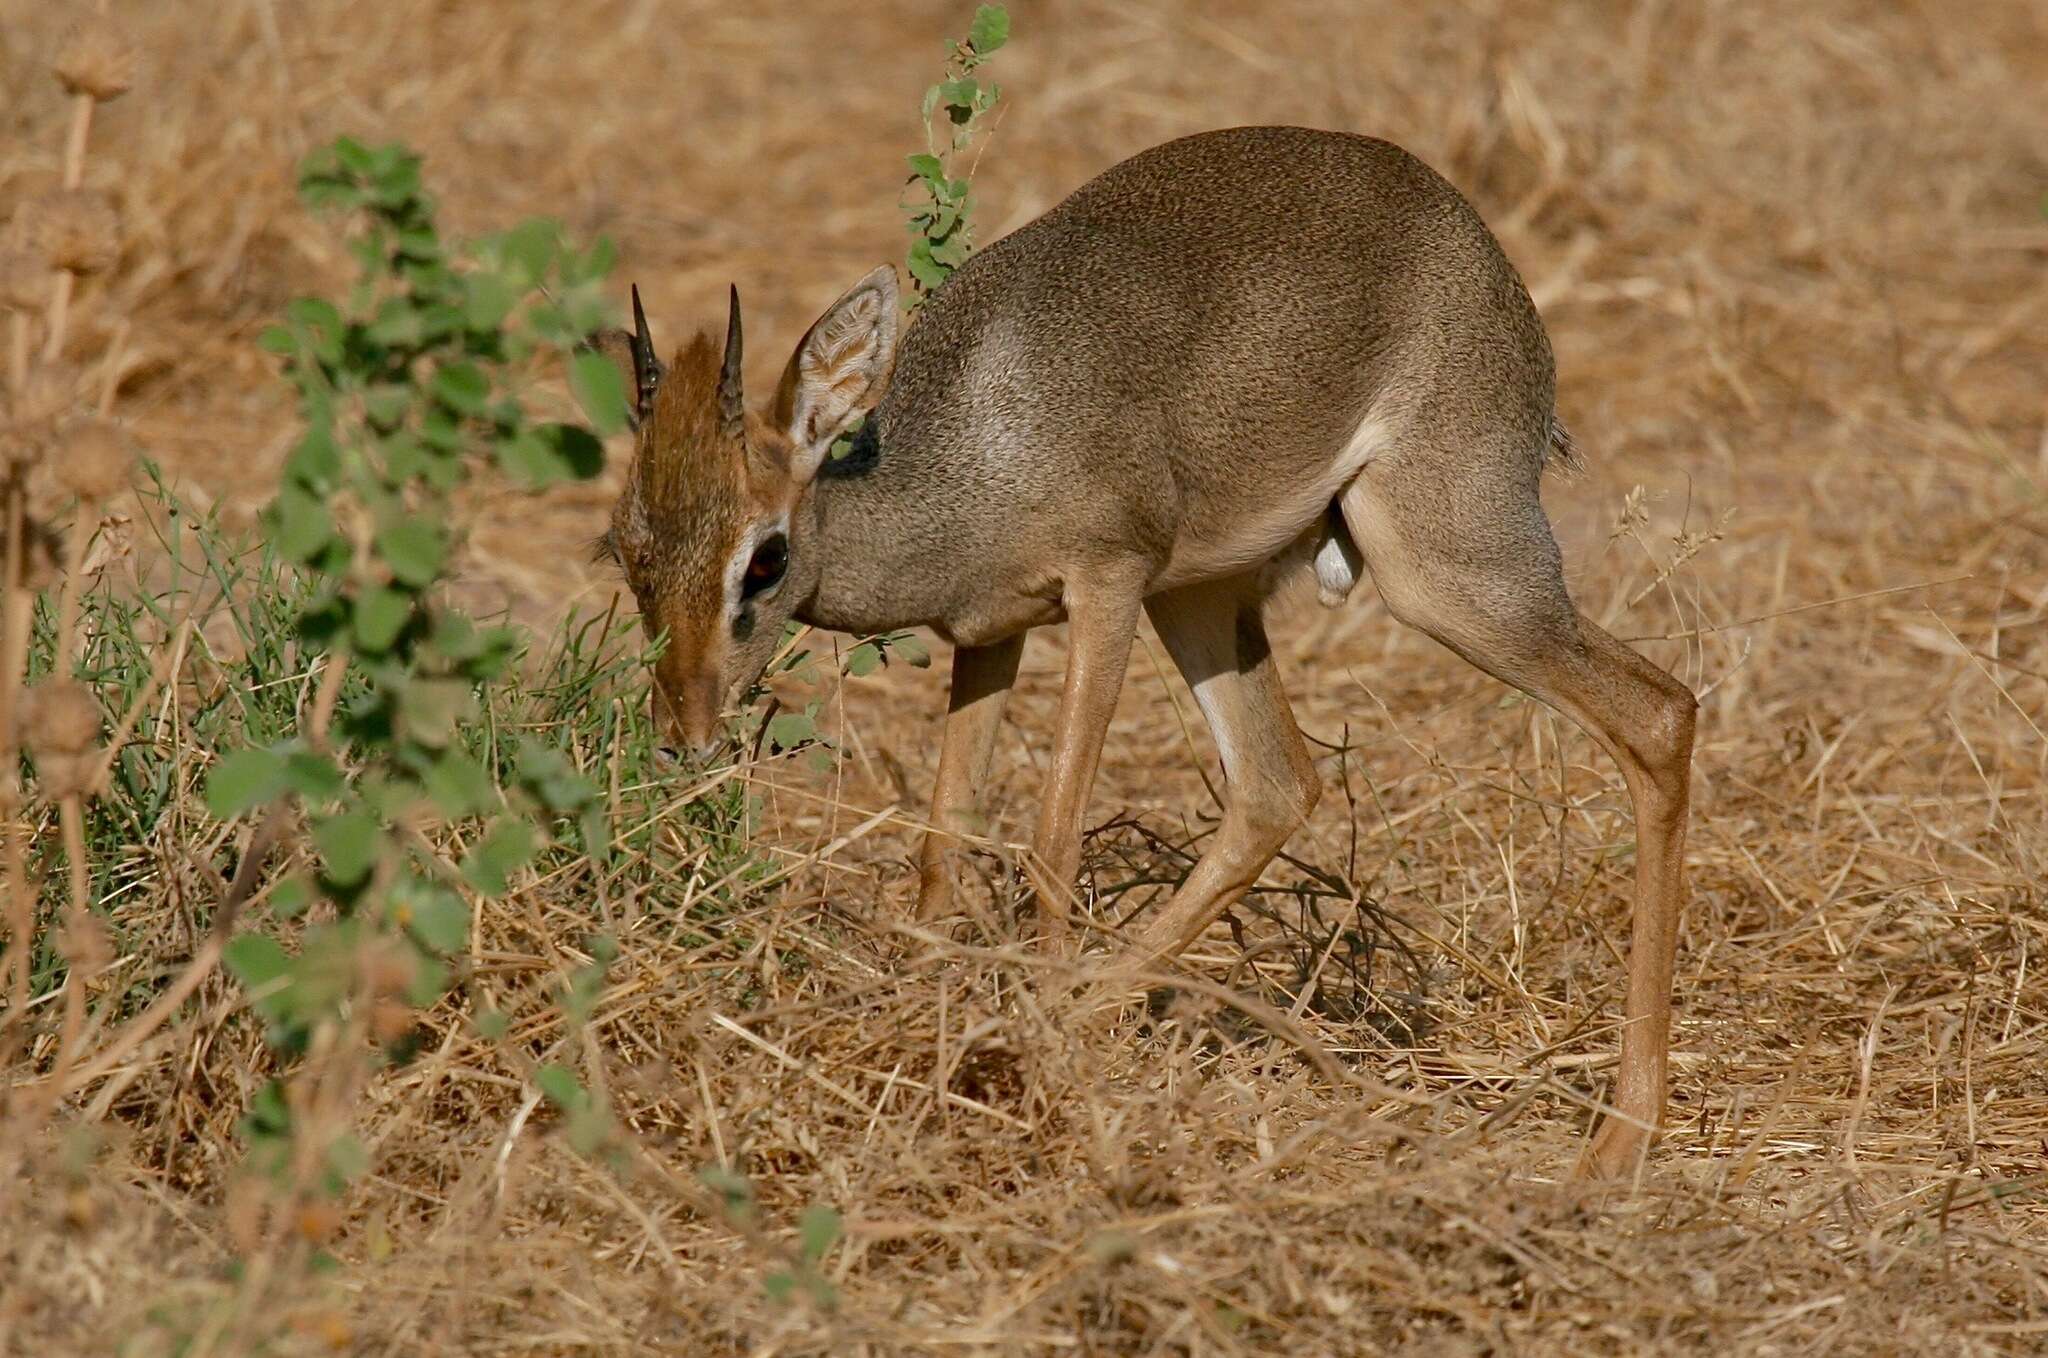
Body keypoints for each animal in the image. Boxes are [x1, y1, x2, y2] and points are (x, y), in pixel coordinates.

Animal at [598, 127, 1695, 1179]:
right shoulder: (989, 634)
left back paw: (1619, 1142)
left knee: (1659, 711)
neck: (977, 449)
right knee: (1277, 783)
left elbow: (1050, 833)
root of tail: (1486, 259)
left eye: (765, 556)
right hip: (1205, 600)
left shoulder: (1105, 587)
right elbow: (943, 838)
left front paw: (1027, 1055)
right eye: (627, 546)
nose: (684, 732)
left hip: (1439, 576)